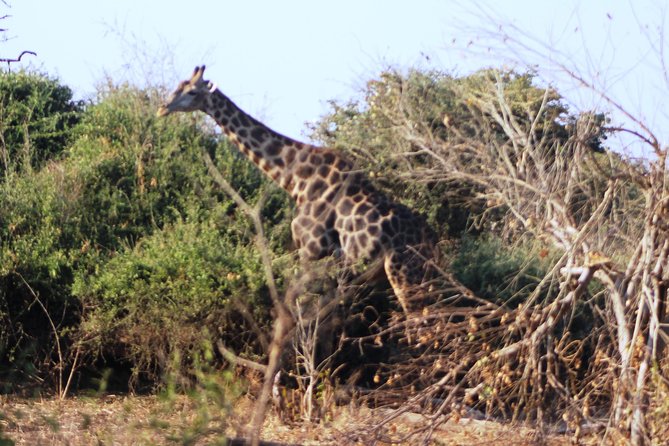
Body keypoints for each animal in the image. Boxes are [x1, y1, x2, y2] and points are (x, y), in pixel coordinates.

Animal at [158, 65, 438, 314]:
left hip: (404, 273)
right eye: (178, 85)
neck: (295, 178)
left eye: (192, 91)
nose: (162, 108)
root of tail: (433, 241)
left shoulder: (310, 250)